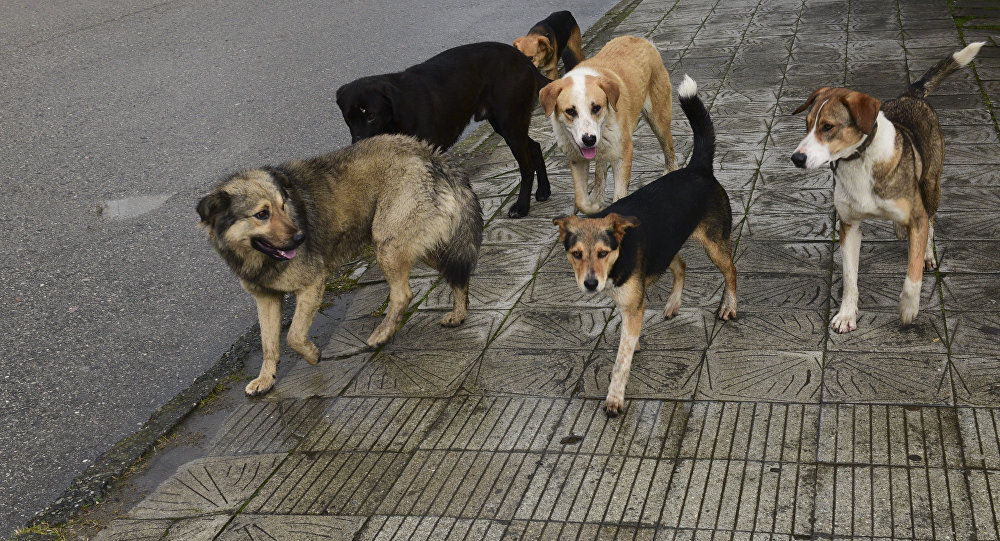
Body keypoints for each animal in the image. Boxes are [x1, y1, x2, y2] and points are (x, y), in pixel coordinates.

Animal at [197, 135, 482, 396]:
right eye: (262, 214)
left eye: (283, 206)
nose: (301, 238)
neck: (258, 257)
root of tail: (429, 152)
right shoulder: (266, 298)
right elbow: (269, 345)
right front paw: (266, 379)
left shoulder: (312, 284)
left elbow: (293, 336)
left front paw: (312, 355)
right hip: (424, 244)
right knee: (458, 275)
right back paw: (458, 313)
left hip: (387, 244)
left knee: (404, 294)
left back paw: (382, 334)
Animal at [340, 42, 552, 218]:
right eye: (348, 118)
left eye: (371, 116)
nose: (358, 142)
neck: (397, 112)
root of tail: (522, 58)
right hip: (507, 125)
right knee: (535, 147)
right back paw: (544, 191)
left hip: (510, 124)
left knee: (526, 167)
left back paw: (522, 207)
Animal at [540, 33, 680, 215]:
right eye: (570, 111)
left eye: (596, 107)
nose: (589, 140)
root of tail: (642, 40)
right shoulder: (577, 159)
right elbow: (581, 202)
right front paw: (596, 206)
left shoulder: (623, 154)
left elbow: (620, 195)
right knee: (600, 168)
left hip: (658, 118)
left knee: (669, 149)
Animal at [556, 75, 736, 414]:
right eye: (575, 254)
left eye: (603, 253)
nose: (590, 284)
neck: (618, 259)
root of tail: (698, 167)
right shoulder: (628, 301)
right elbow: (628, 339)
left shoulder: (632, 304)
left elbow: (621, 361)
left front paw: (615, 398)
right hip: (667, 246)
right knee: (682, 266)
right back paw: (673, 304)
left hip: (713, 243)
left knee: (731, 271)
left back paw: (729, 307)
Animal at [792, 42, 988, 332]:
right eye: (807, 126)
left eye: (828, 126)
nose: (796, 158)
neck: (859, 159)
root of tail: (910, 95)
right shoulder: (849, 226)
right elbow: (849, 277)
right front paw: (846, 315)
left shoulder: (916, 217)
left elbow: (913, 272)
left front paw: (908, 308)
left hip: (932, 185)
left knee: (931, 221)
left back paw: (926, 252)